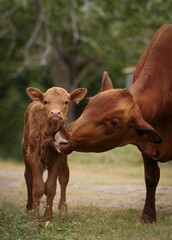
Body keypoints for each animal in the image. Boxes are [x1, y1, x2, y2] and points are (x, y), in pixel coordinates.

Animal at [22, 86, 87, 221]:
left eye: (66, 102)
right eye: (46, 101)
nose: (55, 113)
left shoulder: (59, 157)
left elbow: (51, 187)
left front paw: (48, 219)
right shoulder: (32, 155)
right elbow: (38, 187)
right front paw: (34, 221)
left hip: (65, 157)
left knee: (64, 178)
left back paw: (63, 209)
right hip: (25, 151)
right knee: (28, 177)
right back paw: (29, 208)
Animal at [54, 24, 172, 223]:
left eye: (114, 122)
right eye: (88, 104)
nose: (61, 138)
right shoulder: (146, 146)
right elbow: (151, 177)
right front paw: (148, 216)